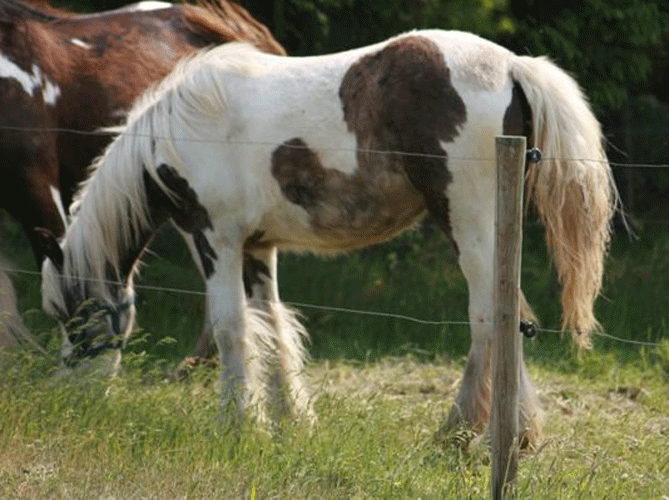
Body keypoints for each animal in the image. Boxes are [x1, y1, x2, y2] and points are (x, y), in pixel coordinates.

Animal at [39, 31, 616, 446]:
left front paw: (238, 427)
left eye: (73, 319)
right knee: (508, 319)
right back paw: (507, 436)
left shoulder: (214, 239)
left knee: (490, 319)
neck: (181, 132)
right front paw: (293, 421)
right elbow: (273, 324)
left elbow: (230, 329)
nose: (71, 403)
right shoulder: (257, 247)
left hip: (469, 224)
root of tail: (513, 66)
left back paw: (466, 435)